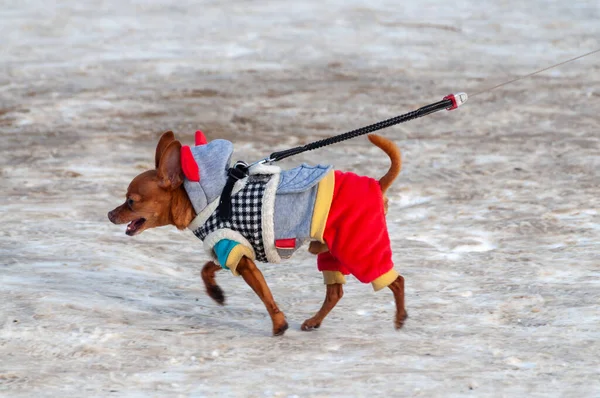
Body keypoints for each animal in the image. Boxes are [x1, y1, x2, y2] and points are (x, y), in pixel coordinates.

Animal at [108, 131, 408, 336]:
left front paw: (278, 325)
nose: (110, 214)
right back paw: (314, 321)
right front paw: (216, 293)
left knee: (396, 280)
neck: (204, 200)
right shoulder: (230, 249)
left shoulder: (240, 258)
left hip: (357, 246)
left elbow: (265, 295)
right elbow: (207, 269)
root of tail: (376, 184)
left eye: (131, 201)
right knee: (335, 292)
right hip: (330, 250)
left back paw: (400, 317)